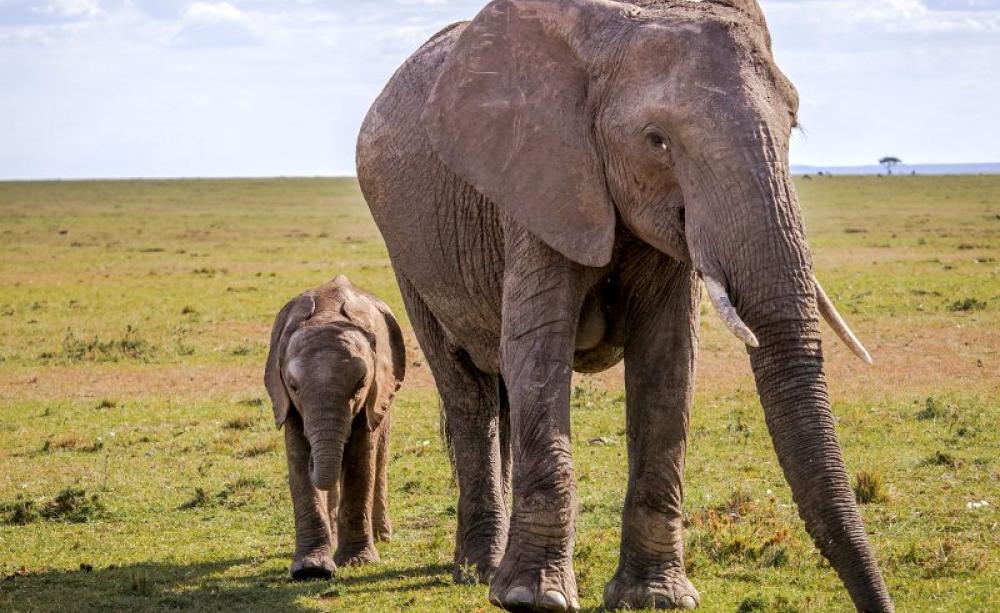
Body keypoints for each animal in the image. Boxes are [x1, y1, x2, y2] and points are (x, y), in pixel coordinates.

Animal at [264, 275, 405, 580]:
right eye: (293, 387)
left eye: (360, 386)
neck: (326, 314)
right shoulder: (285, 402)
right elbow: (296, 458)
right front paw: (311, 569)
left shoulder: (375, 393)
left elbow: (361, 460)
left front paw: (357, 562)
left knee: (380, 456)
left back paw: (381, 536)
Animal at [356, 0, 891, 611]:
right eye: (656, 140)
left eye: (793, 122)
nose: (880, 604)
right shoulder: (540, 178)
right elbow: (537, 349)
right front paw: (532, 598)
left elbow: (669, 363)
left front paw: (654, 598)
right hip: (407, 250)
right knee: (468, 393)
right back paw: (477, 570)